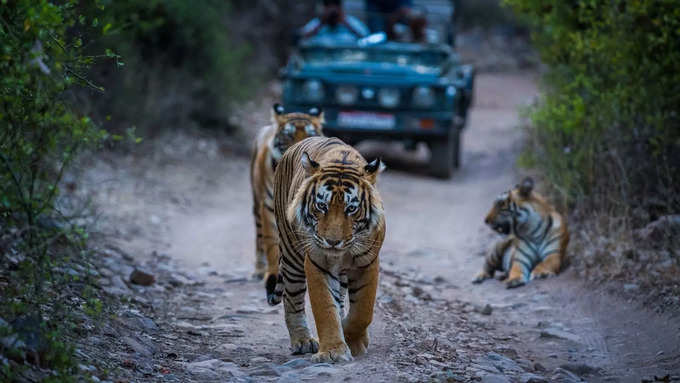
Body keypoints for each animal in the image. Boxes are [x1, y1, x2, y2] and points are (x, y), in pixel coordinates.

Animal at [251, 103, 326, 282]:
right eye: (288, 135)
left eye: (310, 134)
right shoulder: (268, 206)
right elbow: (271, 242)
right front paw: (272, 273)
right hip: (257, 204)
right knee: (259, 237)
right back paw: (259, 270)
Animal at [270, 137, 388, 364]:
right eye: (321, 206)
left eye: (351, 209)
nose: (332, 242)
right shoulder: (317, 262)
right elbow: (325, 308)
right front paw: (333, 351)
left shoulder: (368, 262)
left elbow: (363, 310)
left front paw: (353, 339)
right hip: (291, 254)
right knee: (293, 299)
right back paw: (303, 341)